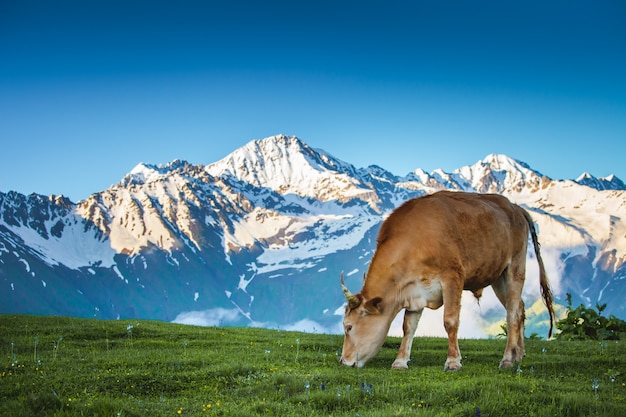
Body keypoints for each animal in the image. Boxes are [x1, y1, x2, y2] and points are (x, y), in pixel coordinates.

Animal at [338, 190, 552, 368]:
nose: (342, 360)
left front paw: (453, 361)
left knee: (512, 314)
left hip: (515, 267)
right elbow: (408, 326)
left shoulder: (453, 278)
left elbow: (450, 321)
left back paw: (507, 359)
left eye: (348, 326)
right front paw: (400, 361)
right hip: (498, 277)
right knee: (519, 308)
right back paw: (519, 354)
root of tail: (515, 207)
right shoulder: (415, 292)